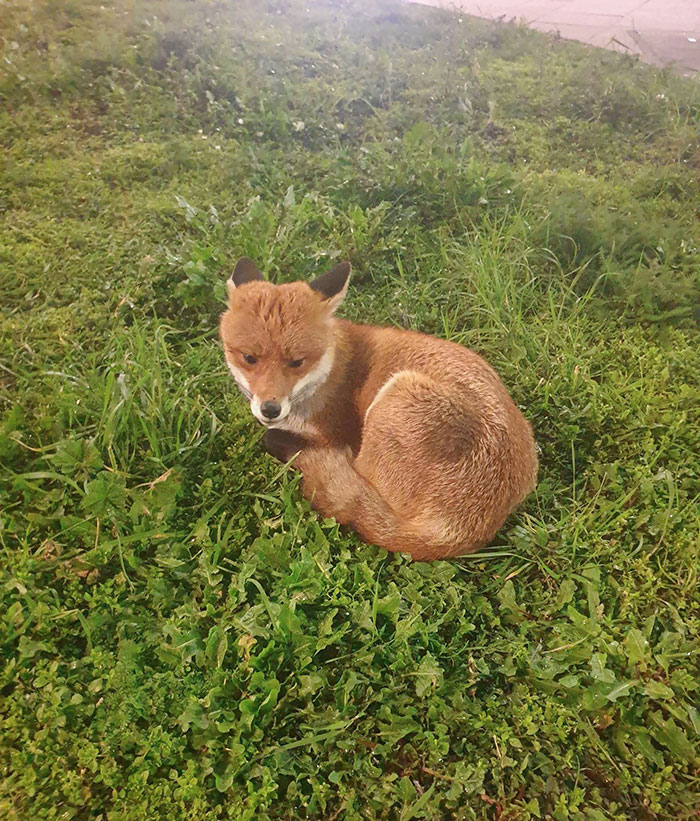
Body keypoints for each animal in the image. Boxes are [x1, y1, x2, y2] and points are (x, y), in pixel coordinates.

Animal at [219, 257, 538, 561]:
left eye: (297, 362)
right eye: (249, 358)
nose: (270, 409)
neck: (330, 371)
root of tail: (463, 529)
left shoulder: (335, 434)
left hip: (392, 399)